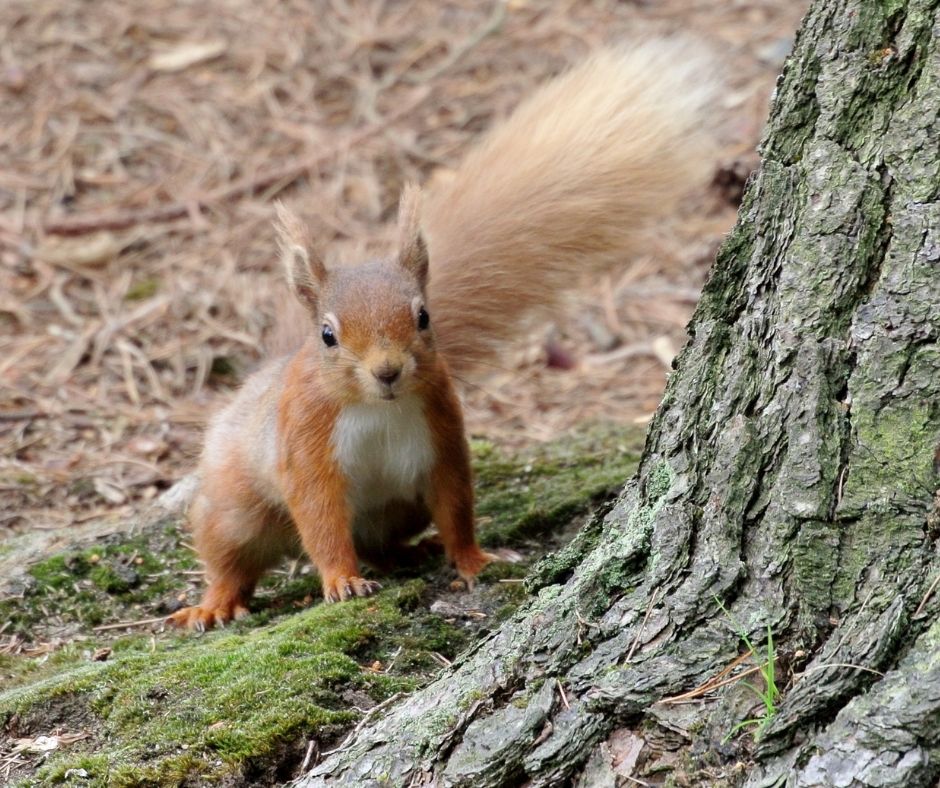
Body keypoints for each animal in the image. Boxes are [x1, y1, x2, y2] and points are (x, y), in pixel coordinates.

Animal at [169, 41, 718, 630]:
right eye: (327, 336)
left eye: (424, 317)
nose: (388, 370)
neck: (377, 409)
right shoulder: (307, 445)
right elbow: (320, 519)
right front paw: (341, 581)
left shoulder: (439, 429)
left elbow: (455, 501)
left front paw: (472, 558)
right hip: (236, 505)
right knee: (230, 556)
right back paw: (213, 604)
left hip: (398, 509)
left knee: (383, 543)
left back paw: (413, 552)